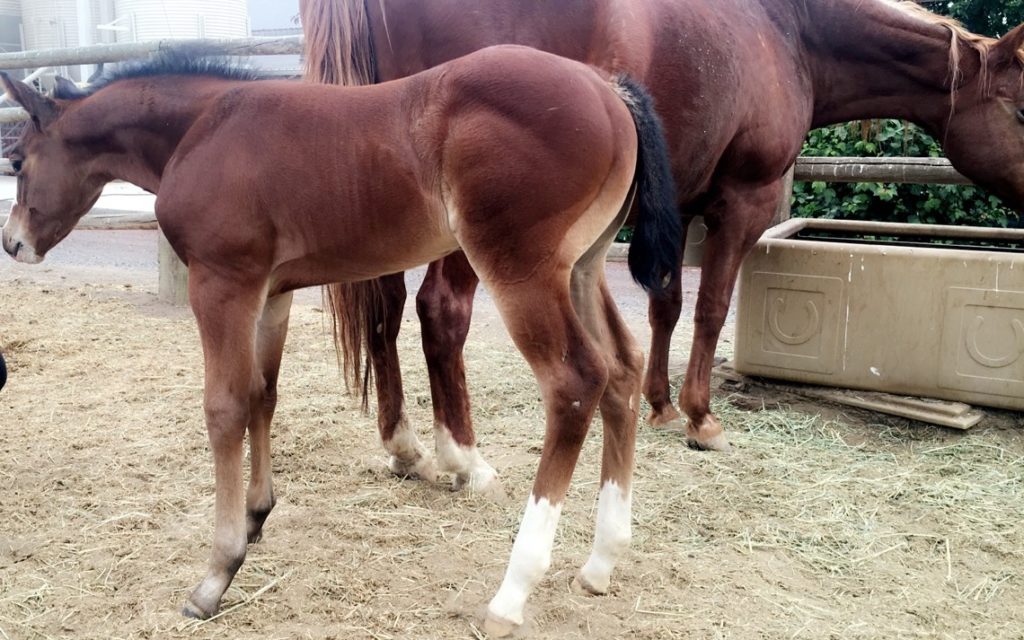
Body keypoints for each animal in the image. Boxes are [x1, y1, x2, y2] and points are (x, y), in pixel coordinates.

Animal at [0, 45, 681, 634]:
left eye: (18, 162)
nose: (13, 244)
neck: (203, 129)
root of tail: (607, 88)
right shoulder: (272, 291)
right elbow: (263, 395)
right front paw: (256, 517)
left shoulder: (222, 283)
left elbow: (224, 408)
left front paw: (217, 573)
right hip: (583, 266)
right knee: (622, 369)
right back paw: (601, 562)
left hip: (521, 269)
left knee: (574, 383)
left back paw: (511, 596)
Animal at [301, 0, 1024, 487]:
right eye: (1020, 109)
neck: (789, 30)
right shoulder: (741, 201)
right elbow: (710, 308)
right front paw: (702, 418)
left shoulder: (674, 203)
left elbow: (665, 307)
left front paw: (660, 405)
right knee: (440, 312)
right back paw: (462, 460)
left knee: (387, 306)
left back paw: (404, 447)